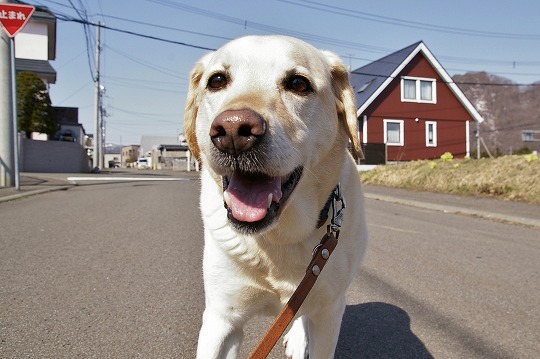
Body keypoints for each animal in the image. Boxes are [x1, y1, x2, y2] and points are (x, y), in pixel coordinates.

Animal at [185, 35, 368, 358]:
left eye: (298, 83)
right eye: (217, 80)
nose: (233, 130)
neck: (280, 237)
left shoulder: (329, 311)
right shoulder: (221, 318)